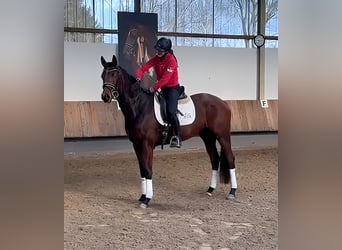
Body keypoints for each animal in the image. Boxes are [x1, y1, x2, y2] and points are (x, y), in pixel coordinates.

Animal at [100, 55, 236, 209]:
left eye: (115, 74)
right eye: (102, 75)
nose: (105, 96)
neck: (139, 106)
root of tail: (223, 103)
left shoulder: (147, 145)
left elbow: (148, 170)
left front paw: (147, 199)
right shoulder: (137, 145)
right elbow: (142, 170)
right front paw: (142, 197)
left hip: (222, 136)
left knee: (230, 158)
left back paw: (232, 192)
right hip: (208, 137)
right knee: (214, 159)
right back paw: (210, 189)